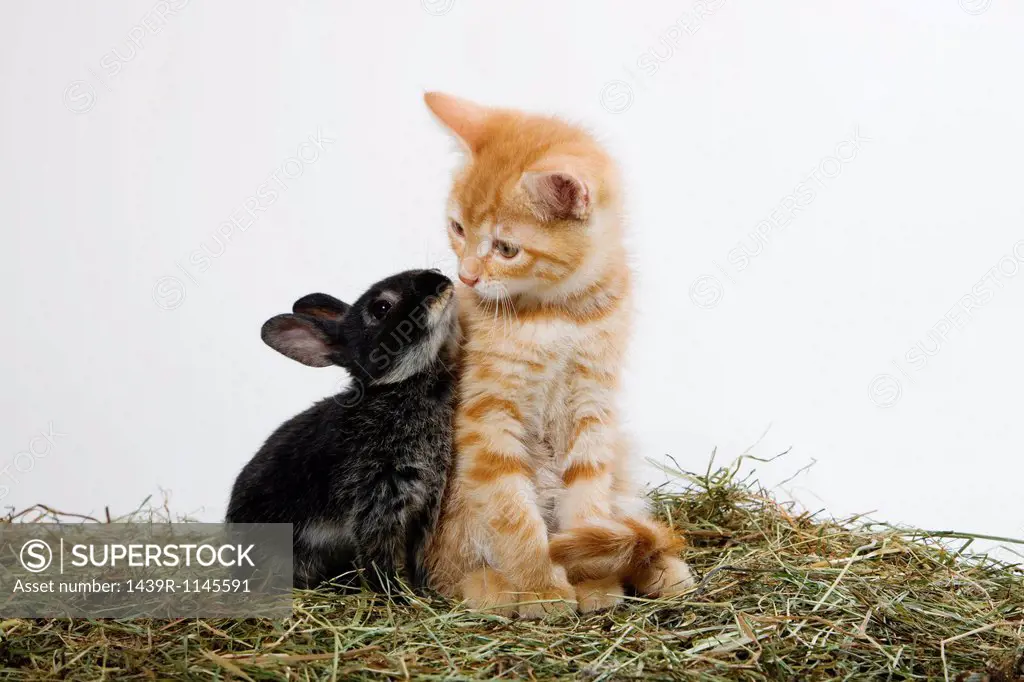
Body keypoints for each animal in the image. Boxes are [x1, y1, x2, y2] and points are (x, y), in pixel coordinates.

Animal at [230, 268, 462, 585]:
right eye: (381, 308)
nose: (441, 281)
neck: (394, 389)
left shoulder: (426, 506)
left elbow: (417, 558)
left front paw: (423, 590)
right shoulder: (377, 502)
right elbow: (380, 560)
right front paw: (394, 593)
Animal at [419, 91, 692, 614]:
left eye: (506, 248)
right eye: (457, 227)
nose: (466, 276)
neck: (560, 313)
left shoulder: (592, 407)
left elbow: (587, 500)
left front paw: (593, 577)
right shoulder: (486, 414)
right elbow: (511, 512)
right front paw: (541, 586)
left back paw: (659, 570)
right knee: (454, 571)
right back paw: (493, 587)